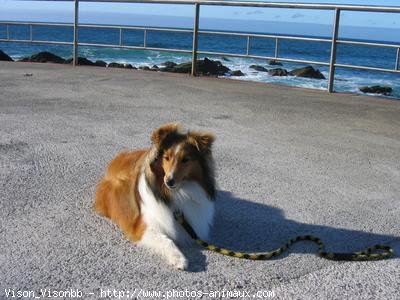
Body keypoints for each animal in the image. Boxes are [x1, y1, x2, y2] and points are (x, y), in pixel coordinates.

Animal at [94, 122, 216, 270]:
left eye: (185, 160)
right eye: (166, 158)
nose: (169, 181)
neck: (177, 193)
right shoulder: (145, 226)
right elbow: (166, 240)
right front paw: (179, 258)